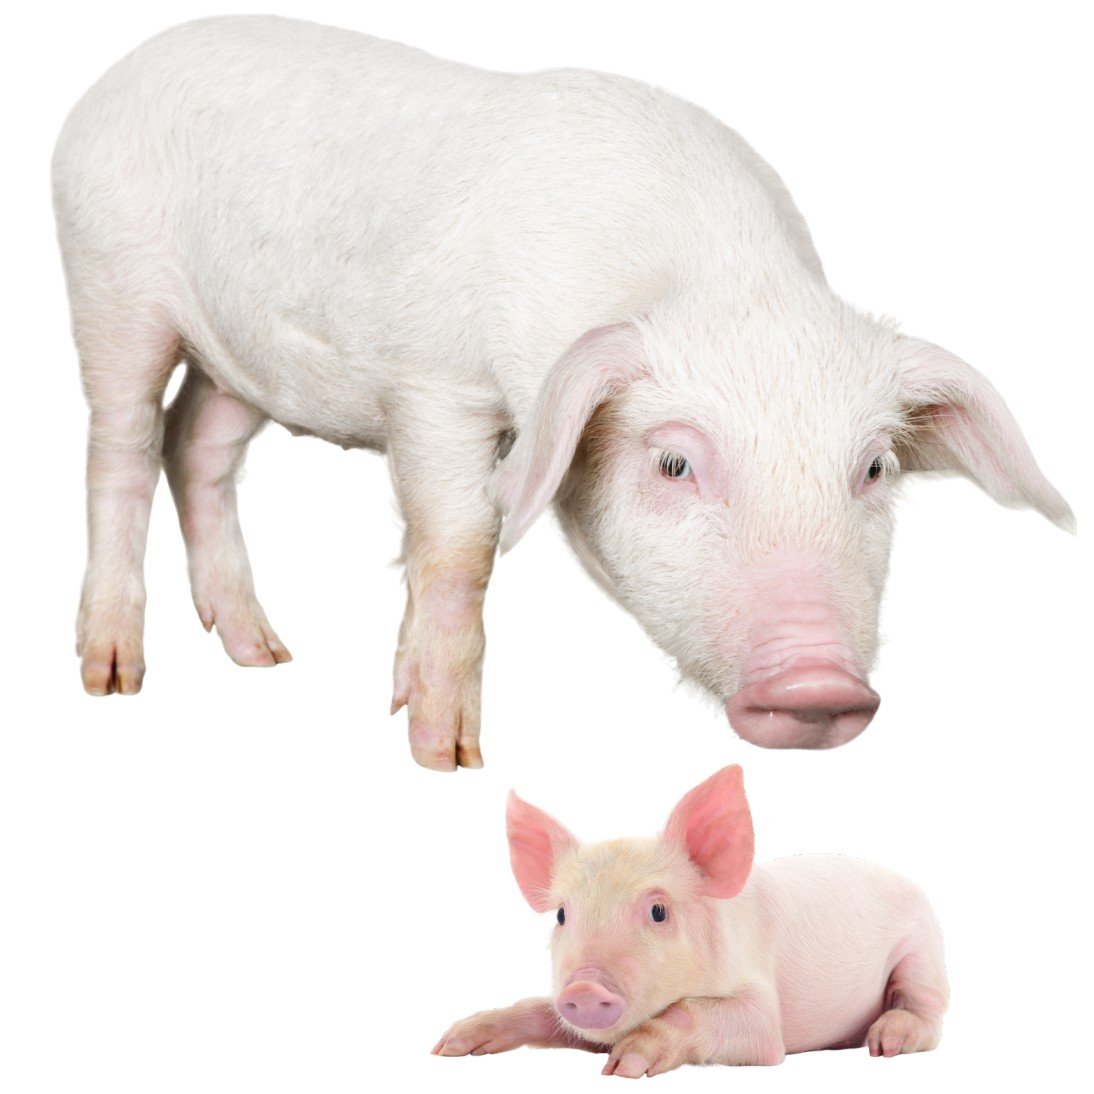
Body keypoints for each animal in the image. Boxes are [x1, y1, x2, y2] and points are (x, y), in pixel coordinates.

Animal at [52, 16, 1072, 769]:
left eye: (873, 470)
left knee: (197, 443)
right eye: (673, 462)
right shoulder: (437, 384)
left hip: (243, 356)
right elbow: (460, 545)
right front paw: (448, 756)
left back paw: (265, 656)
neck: (714, 281)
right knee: (123, 444)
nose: (818, 683)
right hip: (110, 282)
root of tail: (108, 81)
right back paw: (112, 677)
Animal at [434, 766, 947, 1076]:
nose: (585, 987)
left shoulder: (762, 1011)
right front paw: (449, 1046)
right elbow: (540, 1009)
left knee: (927, 1013)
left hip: (923, 951)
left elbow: (708, 1014)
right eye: (562, 915)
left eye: (658, 911)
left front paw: (624, 1065)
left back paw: (886, 1042)